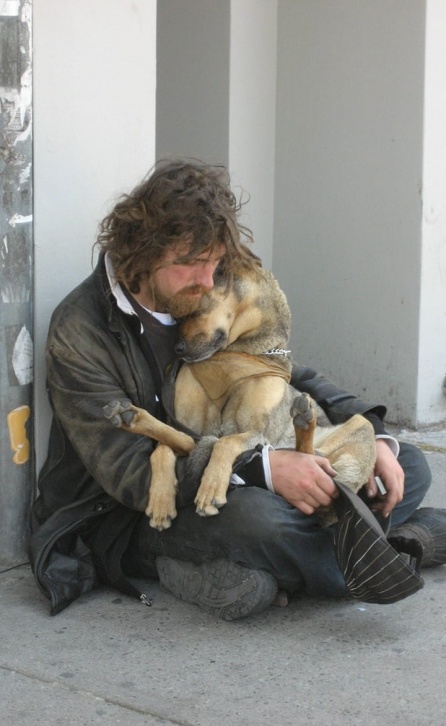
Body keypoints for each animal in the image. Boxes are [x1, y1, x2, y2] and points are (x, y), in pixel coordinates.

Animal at [105, 260, 376, 528]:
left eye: (194, 310)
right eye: (177, 316)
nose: (177, 349)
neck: (234, 355)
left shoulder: (258, 432)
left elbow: (227, 442)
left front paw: (211, 488)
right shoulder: (185, 424)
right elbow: (163, 448)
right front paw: (161, 499)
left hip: (358, 428)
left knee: (312, 462)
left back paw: (304, 418)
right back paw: (132, 418)